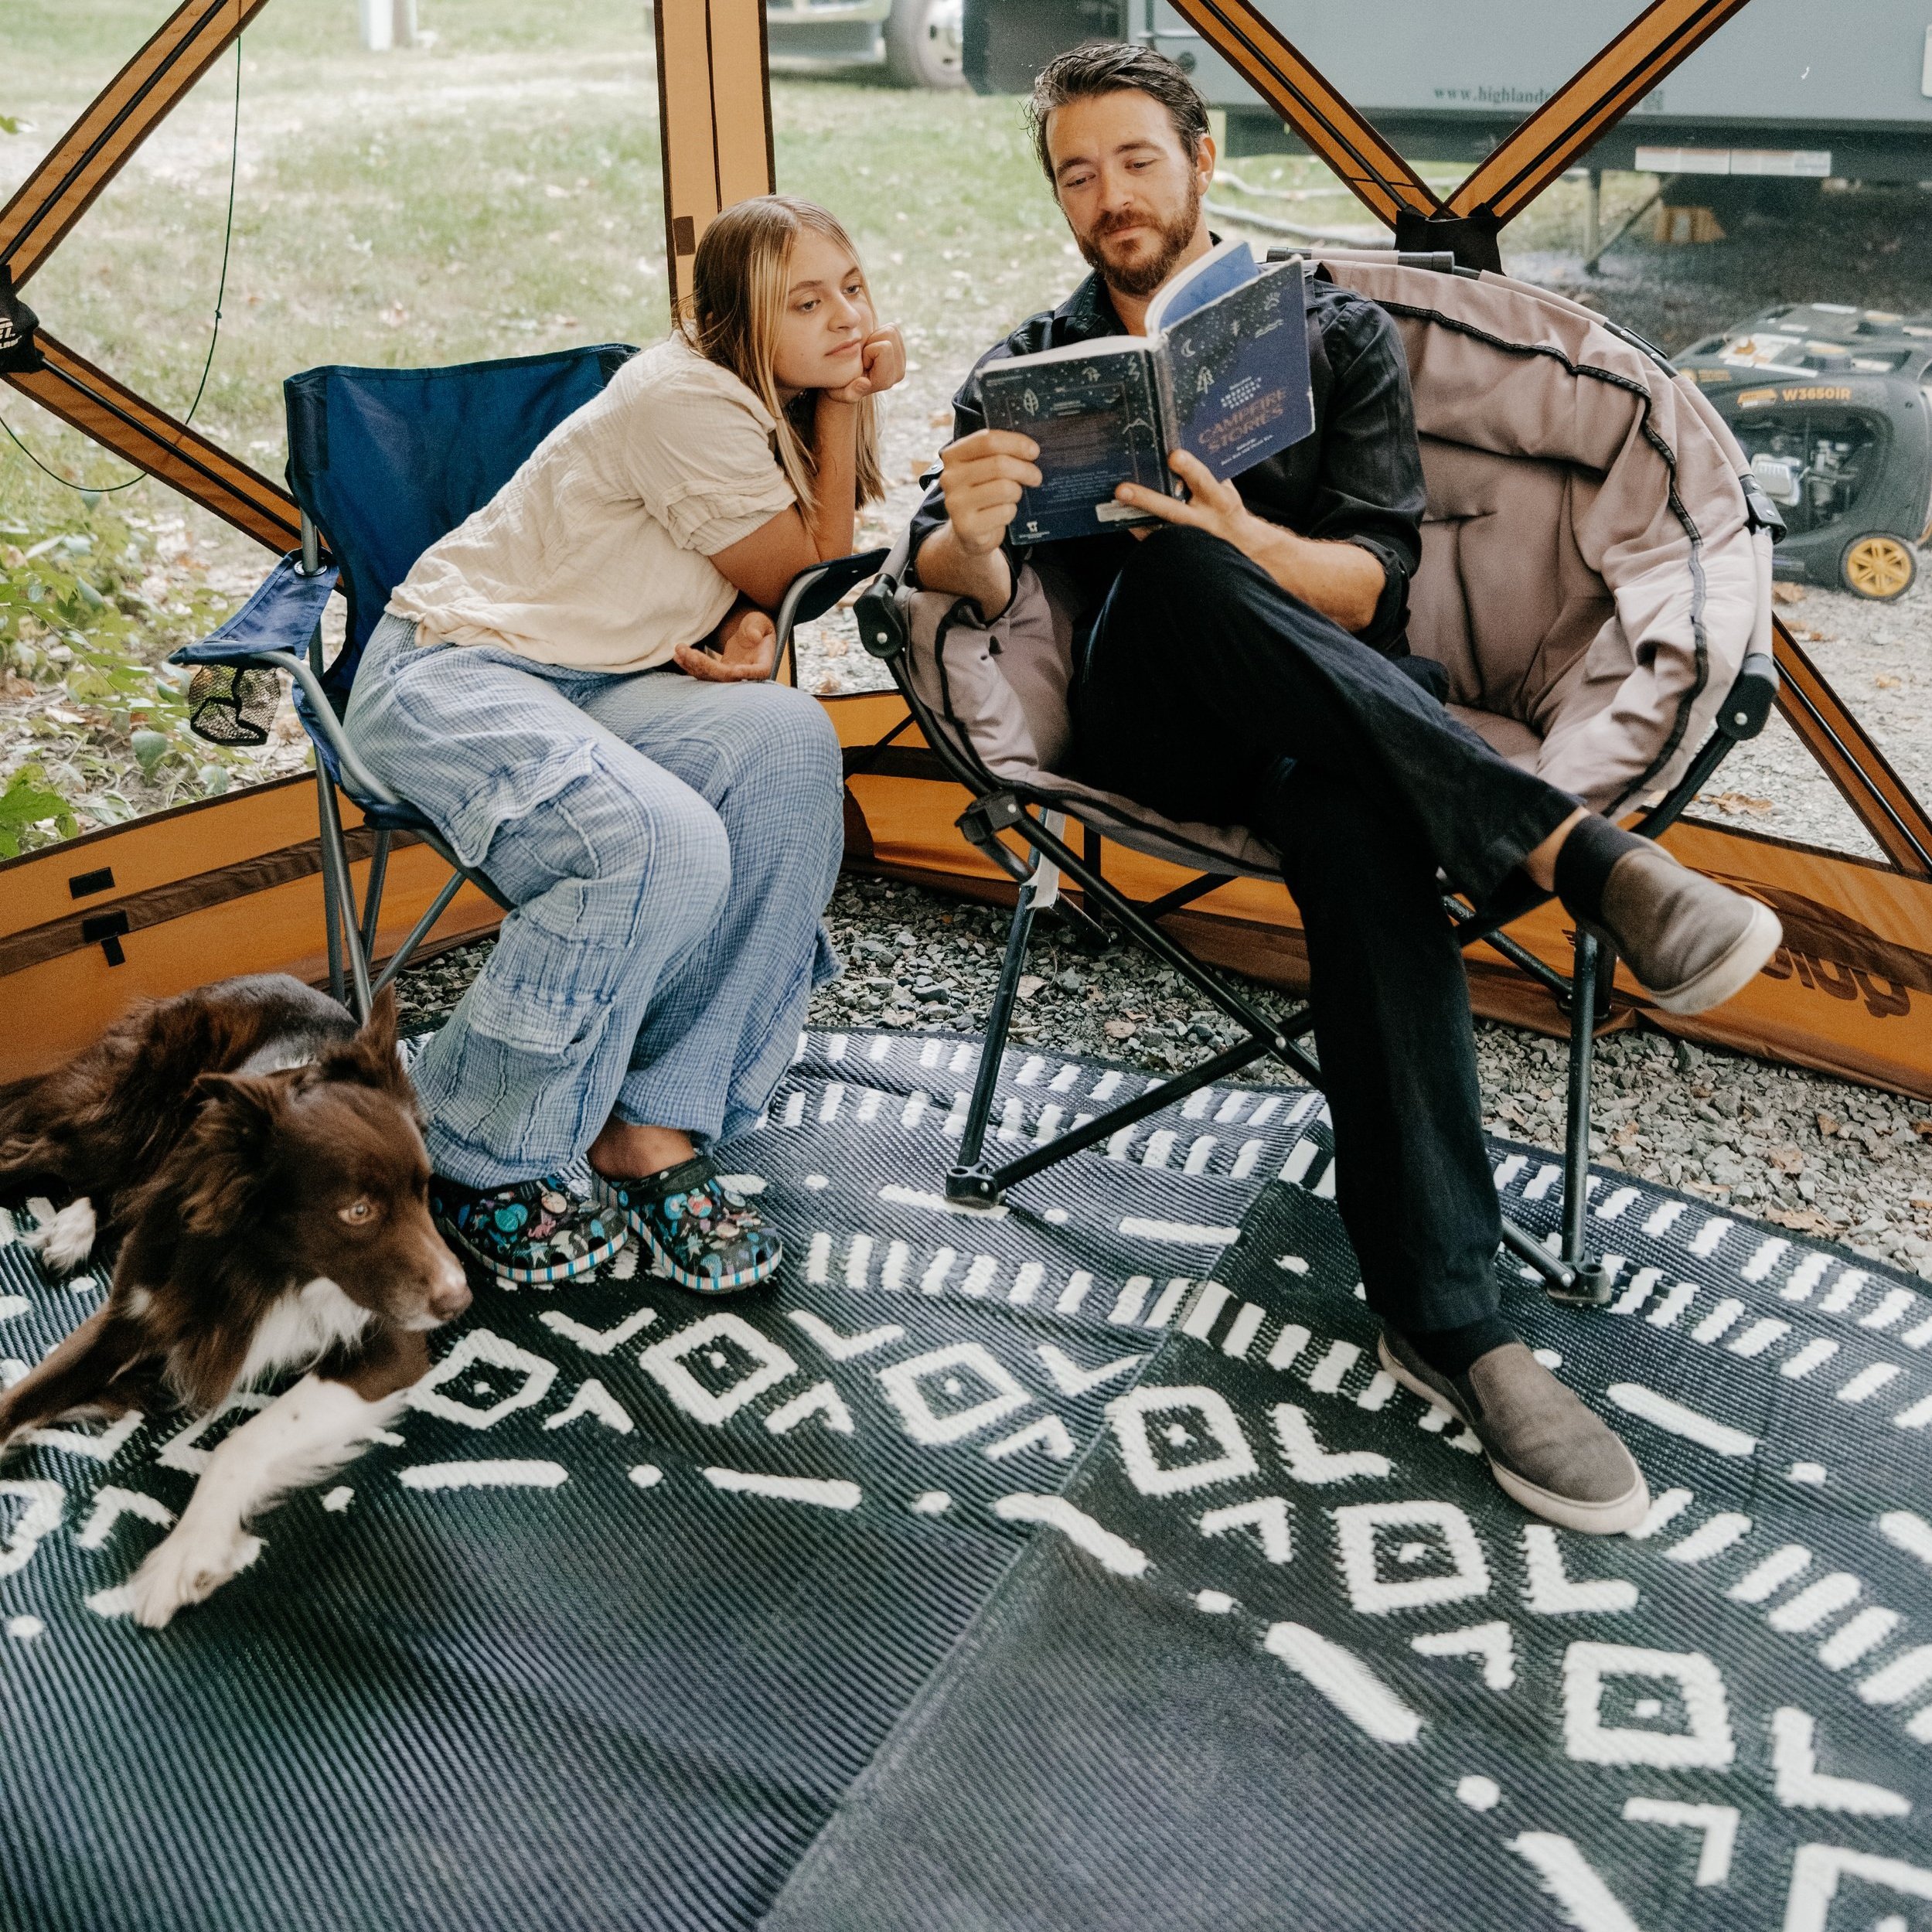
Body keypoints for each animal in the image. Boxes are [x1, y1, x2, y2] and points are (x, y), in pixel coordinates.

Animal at [0, 975, 470, 1628]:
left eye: (425, 1190)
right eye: (357, 1211)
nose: (460, 1300)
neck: (268, 1264)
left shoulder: (389, 1341)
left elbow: (244, 1437)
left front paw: (185, 1551)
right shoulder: (134, 1308)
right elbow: (23, 1395)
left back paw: (73, 1227)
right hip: (126, 1119)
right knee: (36, 1153)